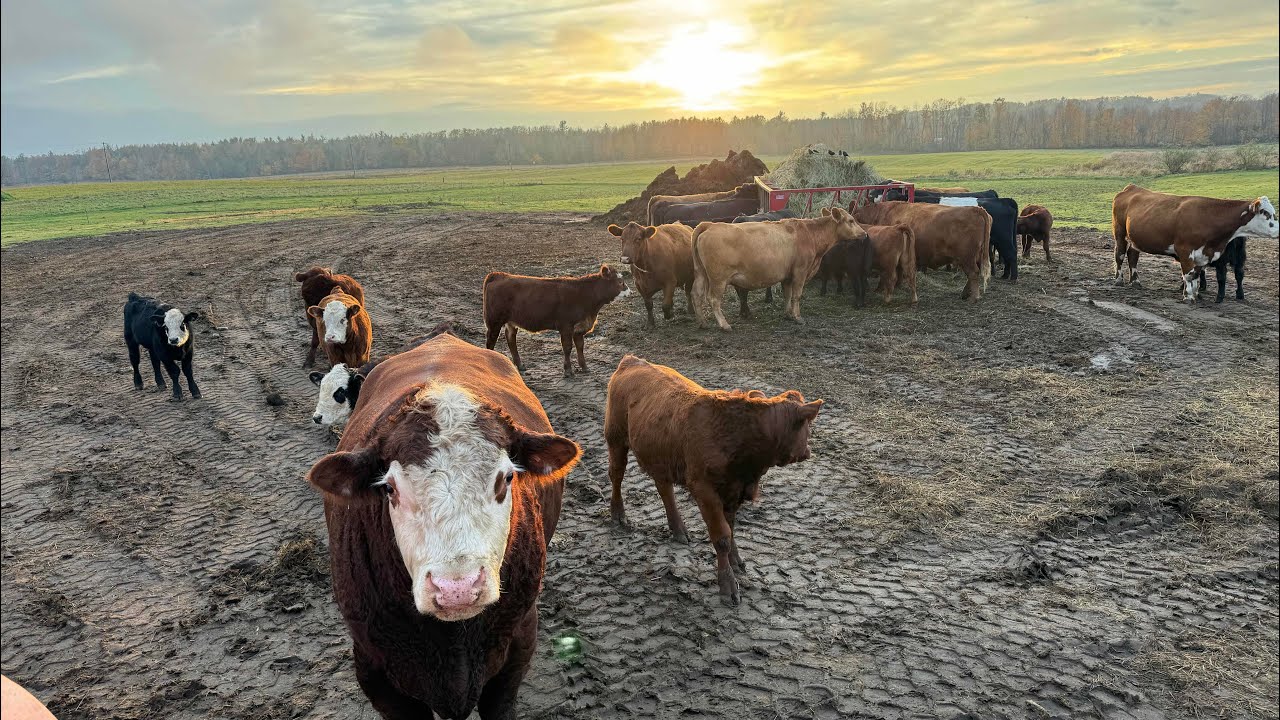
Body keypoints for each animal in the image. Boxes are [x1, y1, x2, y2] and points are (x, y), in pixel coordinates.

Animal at [482, 265, 629, 377]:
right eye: (620, 282)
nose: (630, 292)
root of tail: (500, 275)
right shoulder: (566, 326)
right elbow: (567, 347)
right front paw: (568, 371)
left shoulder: (579, 328)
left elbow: (580, 346)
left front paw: (584, 367)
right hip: (494, 321)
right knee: (491, 341)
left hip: (511, 322)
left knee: (511, 339)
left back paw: (520, 365)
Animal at [605, 355, 822, 605]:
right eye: (807, 426)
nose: (807, 451)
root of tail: (632, 361)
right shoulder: (705, 491)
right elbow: (722, 536)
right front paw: (727, 585)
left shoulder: (734, 490)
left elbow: (731, 528)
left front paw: (736, 562)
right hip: (615, 439)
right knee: (617, 475)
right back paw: (618, 514)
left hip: (661, 456)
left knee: (664, 488)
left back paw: (678, 529)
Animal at [692, 207, 869, 330]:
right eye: (851, 220)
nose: (865, 233)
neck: (810, 233)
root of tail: (709, 225)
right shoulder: (800, 272)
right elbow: (796, 295)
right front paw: (797, 317)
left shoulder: (787, 276)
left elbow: (787, 295)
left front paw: (788, 314)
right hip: (718, 279)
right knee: (713, 300)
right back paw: (724, 325)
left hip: (701, 274)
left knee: (697, 295)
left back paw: (702, 323)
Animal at [852, 200, 992, 301]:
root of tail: (976, 209)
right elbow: (899, 271)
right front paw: (897, 285)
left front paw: (880, 289)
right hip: (973, 257)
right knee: (973, 275)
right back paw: (965, 294)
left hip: (966, 258)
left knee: (973, 274)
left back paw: (974, 297)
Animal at [1111, 185, 1277, 302]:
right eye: (1265, 213)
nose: (1278, 230)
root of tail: (1131, 187)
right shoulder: (1185, 250)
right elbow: (1189, 275)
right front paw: (1188, 296)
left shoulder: (1202, 254)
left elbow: (1197, 274)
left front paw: (1196, 293)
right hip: (1119, 233)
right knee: (1120, 255)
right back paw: (1118, 280)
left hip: (1134, 238)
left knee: (1133, 256)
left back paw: (1135, 281)